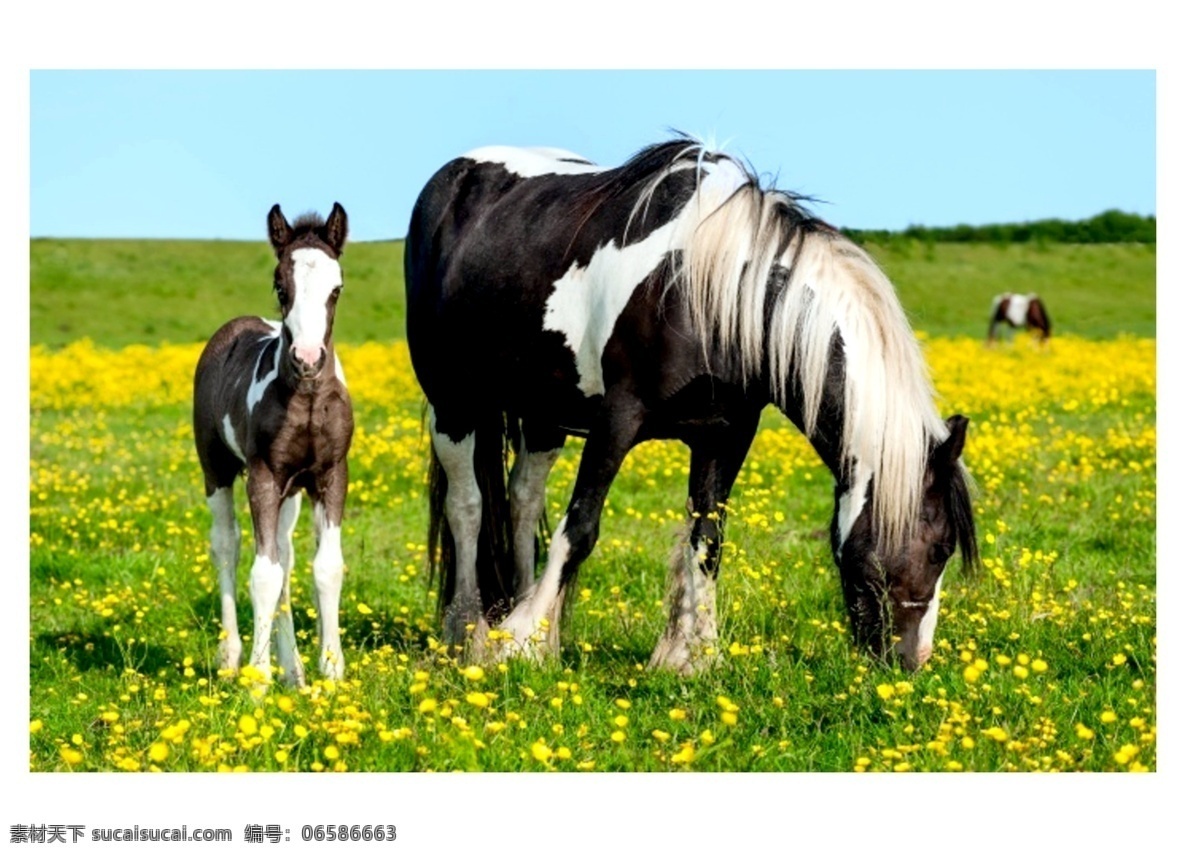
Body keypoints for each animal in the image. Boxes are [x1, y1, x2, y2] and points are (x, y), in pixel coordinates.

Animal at [192, 201, 350, 686]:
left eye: (336, 288)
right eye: (281, 286)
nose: (308, 358)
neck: (308, 399)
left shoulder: (331, 476)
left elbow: (324, 568)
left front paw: (331, 672)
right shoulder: (262, 476)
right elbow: (262, 574)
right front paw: (258, 682)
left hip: (292, 492)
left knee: (286, 555)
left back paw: (293, 670)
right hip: (217, 469)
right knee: (228, 545)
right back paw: (232, 657)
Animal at [408, 140, 979, 672]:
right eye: (939, 548)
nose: (911, 659)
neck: (709, 292)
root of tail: (453, 178)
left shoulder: (723, 434)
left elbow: (707, 538)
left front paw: (693, 657)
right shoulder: (617, 420)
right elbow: (579, 529)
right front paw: (517, 642)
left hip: (545, 412)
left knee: (523, 500)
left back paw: (527, 624)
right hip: (453, 404)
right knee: (468, 507)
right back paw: (469, 631)